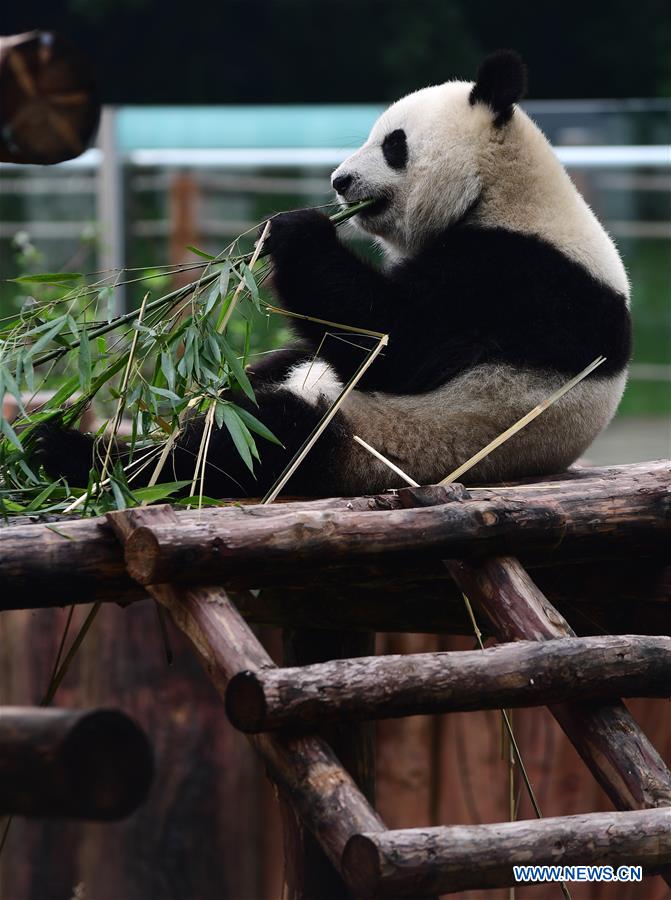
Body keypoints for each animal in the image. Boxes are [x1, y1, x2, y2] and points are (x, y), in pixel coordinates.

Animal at [39, 51, 632, 500]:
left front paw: (294, 229)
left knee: (253, 441)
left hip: (374, 438)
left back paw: (79, 457)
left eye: (394, 144)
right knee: (260, 381)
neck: (501, 193)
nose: (339, 180)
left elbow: (398, 341)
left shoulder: (522, 278)